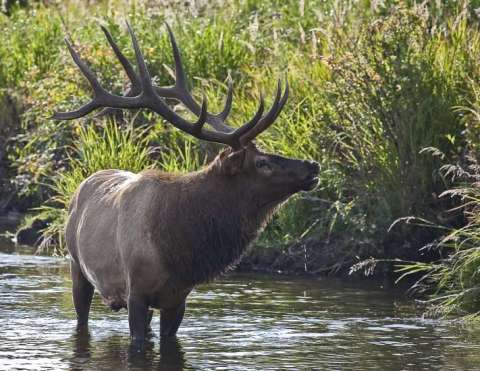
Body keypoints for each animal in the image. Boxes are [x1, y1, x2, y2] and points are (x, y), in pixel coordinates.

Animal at [53, 24, 318, 348]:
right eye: (262, 163)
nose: (312, 165)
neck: (181, 250)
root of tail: (84, 184)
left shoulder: (178, 298)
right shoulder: (136, 291)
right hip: (76, 265)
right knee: (81, 316)